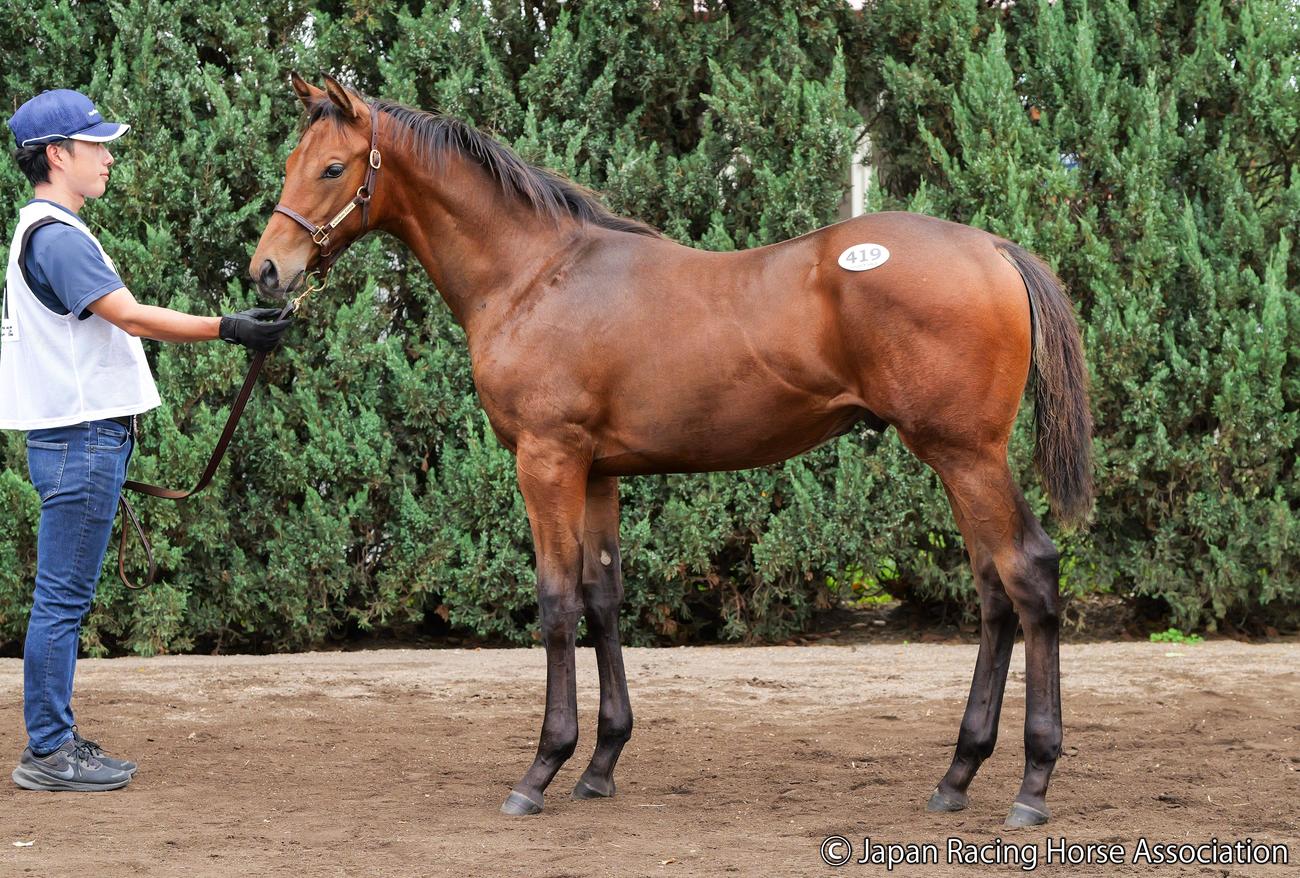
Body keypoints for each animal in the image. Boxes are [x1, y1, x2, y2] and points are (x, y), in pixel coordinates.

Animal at [250, 74, 1093, 827]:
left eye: (333, 168)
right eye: (292, 160)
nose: (266, 271)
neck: (533, 275)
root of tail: (993, 247)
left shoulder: (546, 462)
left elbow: (556, 603)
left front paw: (541, 769)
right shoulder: (597, 473)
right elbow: (603, 598)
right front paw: (599, 764)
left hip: (965, 454)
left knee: (1028, 573)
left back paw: (1032, 785)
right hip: (957, 461)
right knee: (992, 590)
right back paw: (957, 775)